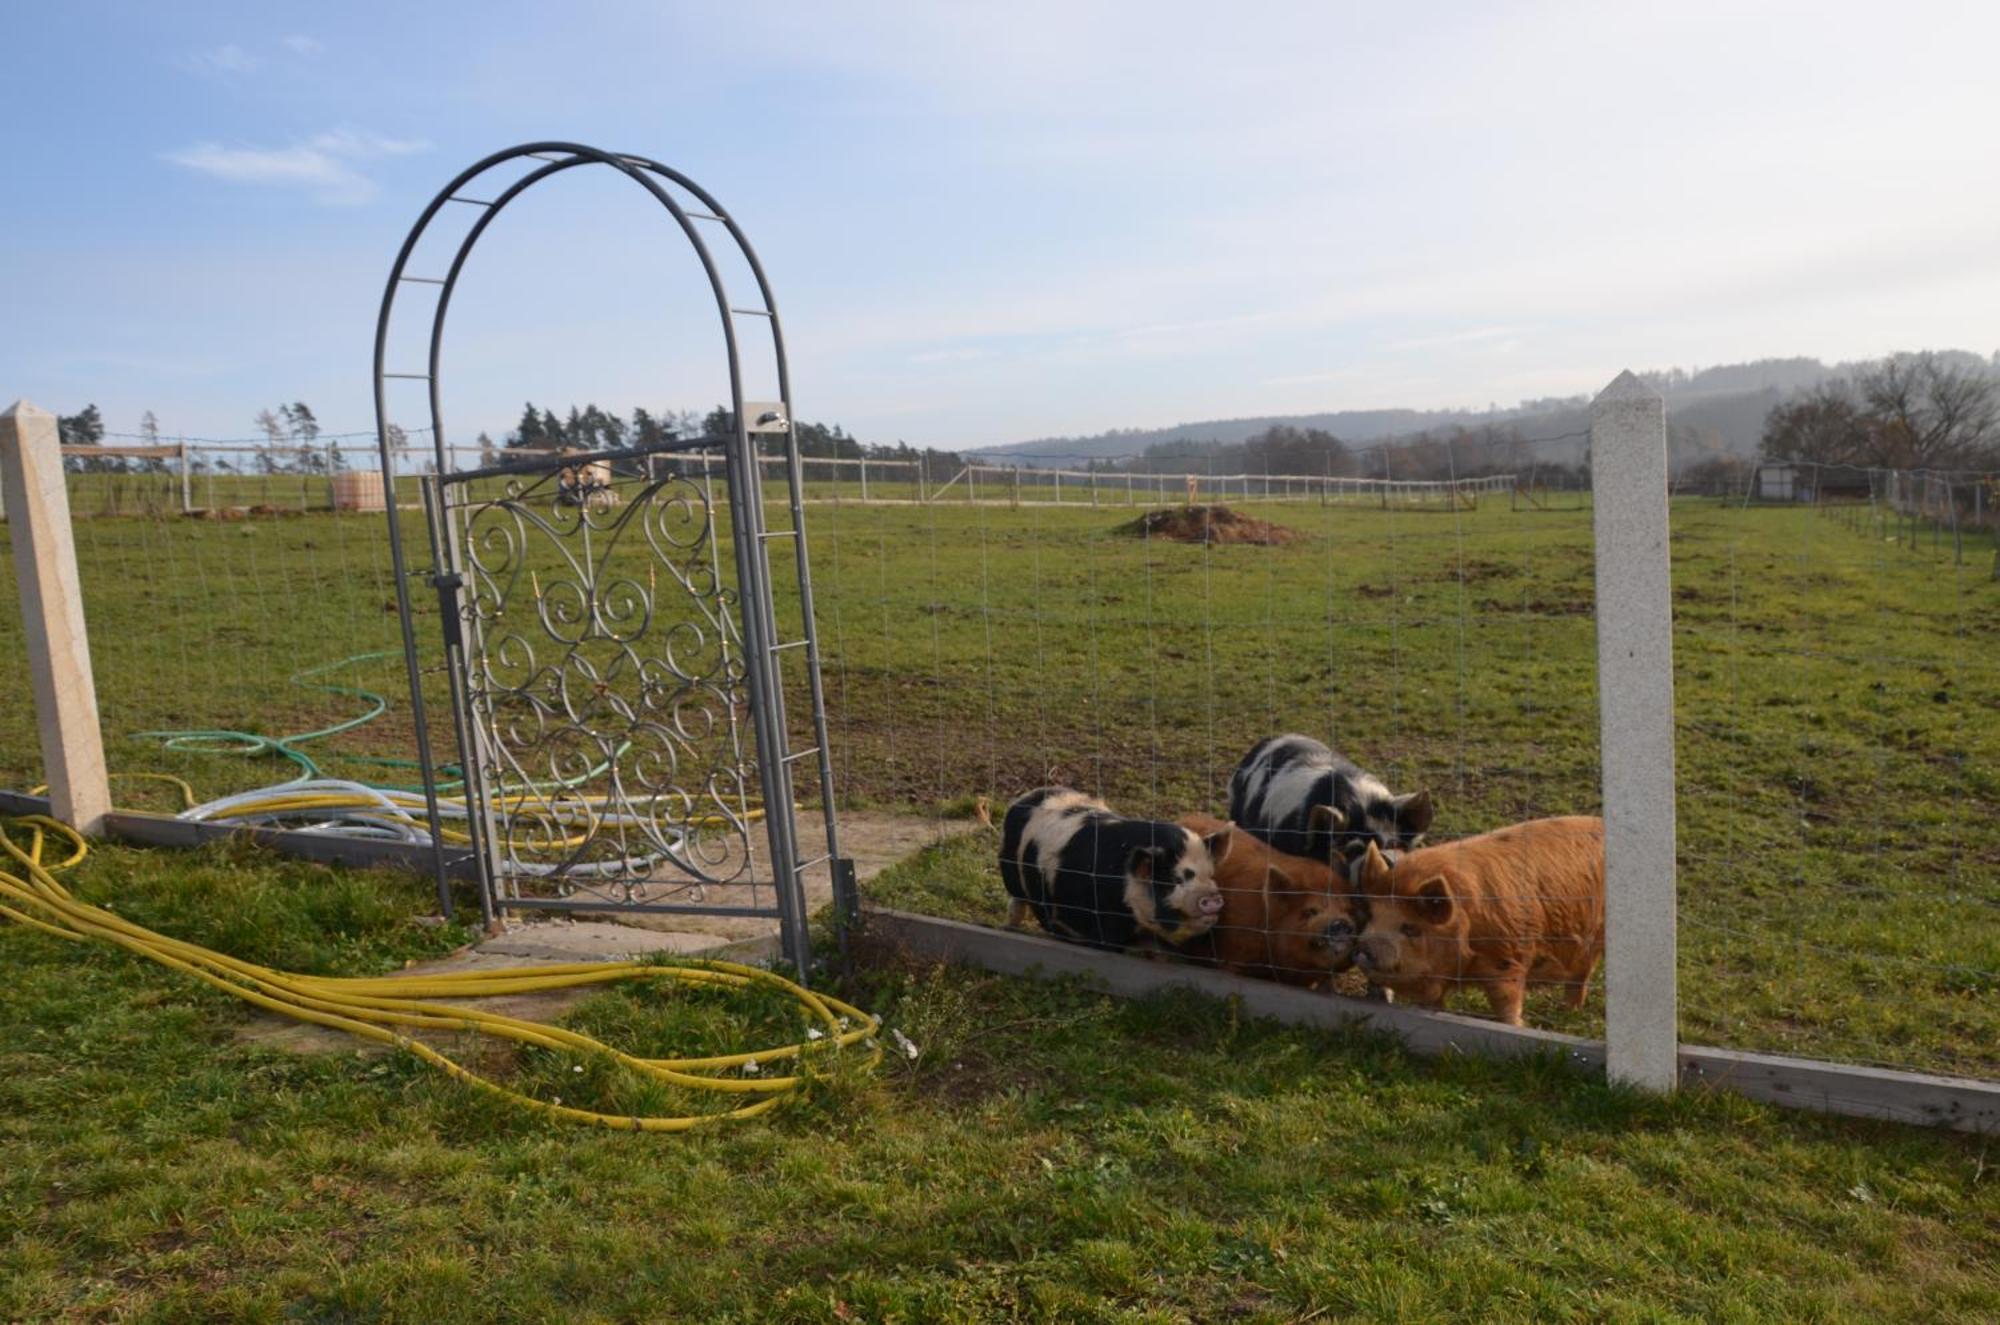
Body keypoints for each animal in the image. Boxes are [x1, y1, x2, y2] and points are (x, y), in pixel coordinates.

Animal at [1000, 788, 1232, 956]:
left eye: (1210, 874)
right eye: (1174, 879)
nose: (1212, 897)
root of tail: (1027, 796)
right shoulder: (1102, 924)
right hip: (1010, 875)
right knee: (1016, 903)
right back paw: (1009, 928)